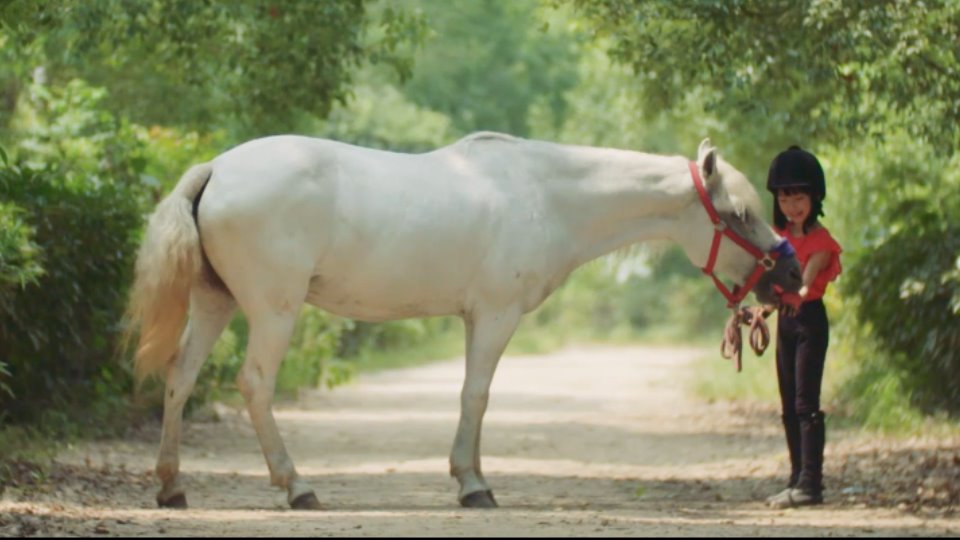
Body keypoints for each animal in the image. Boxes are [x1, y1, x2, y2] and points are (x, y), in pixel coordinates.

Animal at [127, 132, 804, 510]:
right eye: (740, 214)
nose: (790, 277)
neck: (546, 196)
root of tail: (216, 169)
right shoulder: (495, 314)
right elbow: (476, 394)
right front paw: (473, 486)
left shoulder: (477, 317)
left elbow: (475, 397)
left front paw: (471, 475)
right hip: (273, 309)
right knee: (255, 385)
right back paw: (297, 487)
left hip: (215, 302)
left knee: (179, 378)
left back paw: (172, 487)